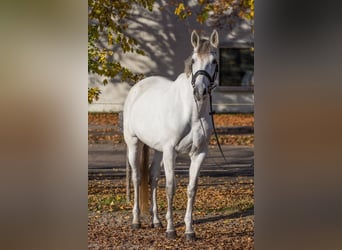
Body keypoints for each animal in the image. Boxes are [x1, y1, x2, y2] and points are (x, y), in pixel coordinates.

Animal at [123, 29, 219, 240]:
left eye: (214, 61)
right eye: (193, 60)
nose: (200, 91)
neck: (192, 112)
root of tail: (137, 88)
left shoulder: (199, 153)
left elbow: (192, 188)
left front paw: (189, 230)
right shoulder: (170, 151)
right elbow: (170, 187)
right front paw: (171, 229)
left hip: (158, 150)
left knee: (152, 178)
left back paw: (156, 221)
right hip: (134, 144)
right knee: (137, 178)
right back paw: (136, 221)